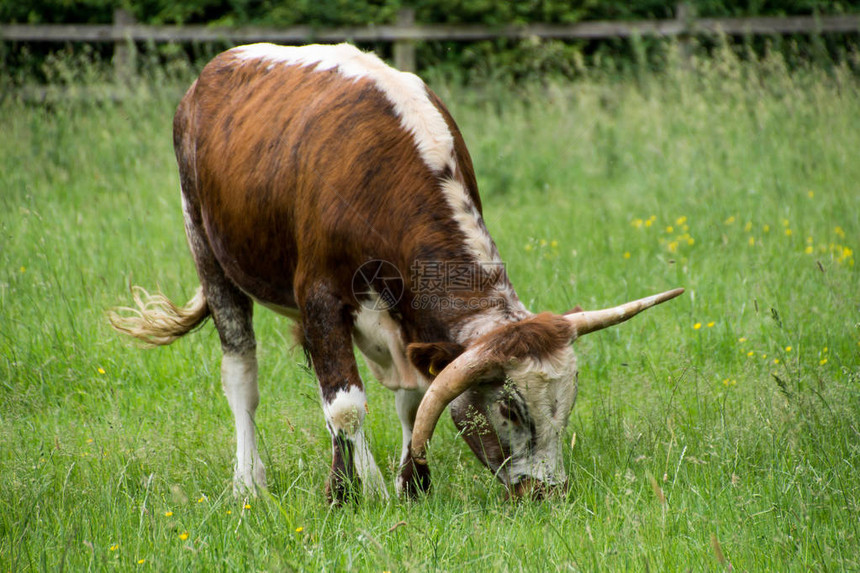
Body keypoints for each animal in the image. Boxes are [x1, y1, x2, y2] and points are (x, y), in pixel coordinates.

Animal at [111, 43, 680, 500]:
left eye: (567, 405)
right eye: (511, 410)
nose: (548, 494)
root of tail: (212, 71)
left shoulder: (409, 321)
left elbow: (414, 398)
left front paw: (411, 484)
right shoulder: (321, 298)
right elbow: (345, 406)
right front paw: (349, 494)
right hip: (209, 254)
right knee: (243, 378)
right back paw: (249, 482)